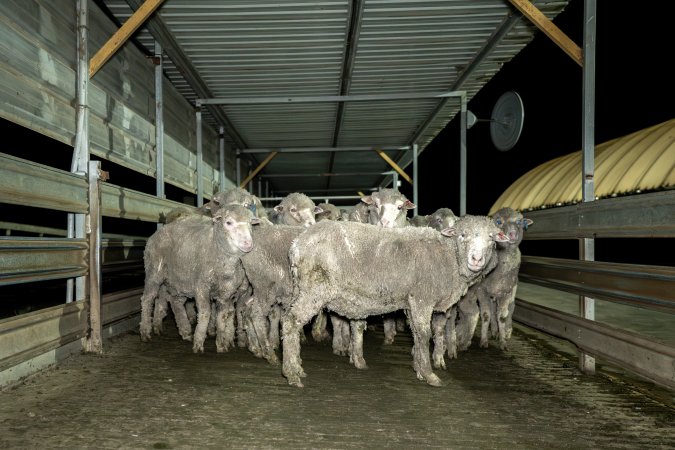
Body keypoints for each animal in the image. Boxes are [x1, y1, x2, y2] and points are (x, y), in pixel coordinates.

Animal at [140, 202, 258, 354]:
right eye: (228, 222)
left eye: (250, 223)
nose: (248, 244)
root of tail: (158, 233)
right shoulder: (201, 286)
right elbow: (205, 312)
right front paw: (199, 342)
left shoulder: (226, 292)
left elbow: (223, 316)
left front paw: (221, 344)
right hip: (154, 272)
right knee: (147, 299)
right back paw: (145, 331)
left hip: (179, 280)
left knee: (175, 302)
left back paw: (185, 331)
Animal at [280, 215, 508, 386]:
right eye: (463, 235)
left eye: (491, 238)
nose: (476, 260)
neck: (448, 255)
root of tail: (296, 245)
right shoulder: (422, 298)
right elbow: (424, 335)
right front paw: (429, 374)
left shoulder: (411, 302)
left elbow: (417, 334)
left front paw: (419, 368)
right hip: (315, 289)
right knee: (291, 322)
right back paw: (292, 373)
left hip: (300, 288)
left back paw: (298, 365)